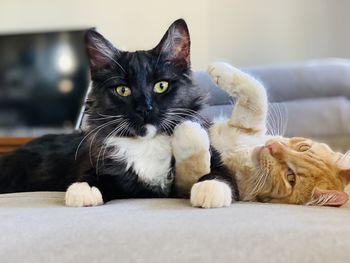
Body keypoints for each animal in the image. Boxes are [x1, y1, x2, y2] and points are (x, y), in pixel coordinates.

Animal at [0, 19, 238, 207]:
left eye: (161, 86)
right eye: (123, 90)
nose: (144, 108)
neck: (147, 144)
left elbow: (219, 172)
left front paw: (210, 187)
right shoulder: (99, 164)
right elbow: (92, 176)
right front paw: (83, 189)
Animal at [174, 62, 350, 208]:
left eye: (291, 177)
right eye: (303, 147)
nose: (273, 147)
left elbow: (195, 169)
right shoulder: (245, 125)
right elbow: (257, 93)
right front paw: (219, 68)